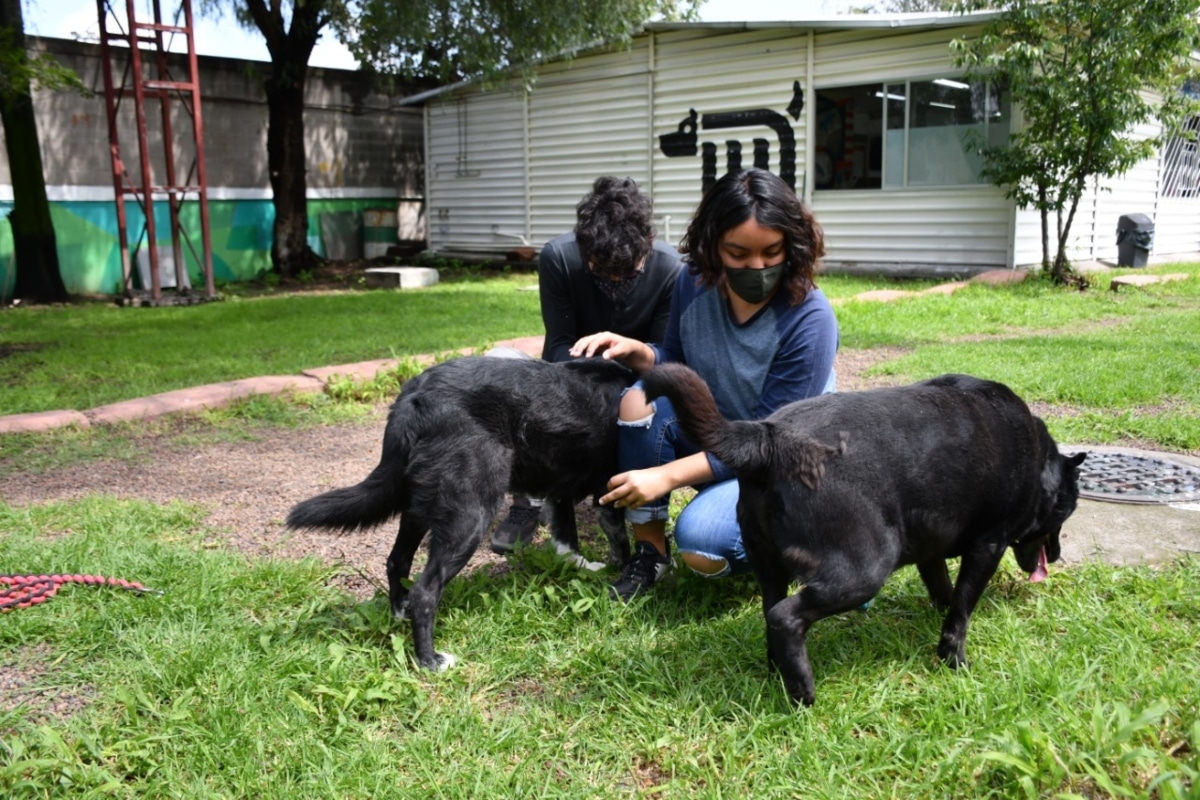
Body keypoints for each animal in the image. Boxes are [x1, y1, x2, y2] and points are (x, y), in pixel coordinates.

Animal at [286, 355, 638, 671]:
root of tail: (414, 397)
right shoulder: (610, 493)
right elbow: (619, 540)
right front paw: (619, 570)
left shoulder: (560, 488)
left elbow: (567, 539)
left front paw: (581, 567)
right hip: (471, 515)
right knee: (425, 591)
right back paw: (430, 661)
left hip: (419, 508)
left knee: (397, 561)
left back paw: (399, 614)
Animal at [648, 362, 1089, 705]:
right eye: (1067, 509)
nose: (1059, 554)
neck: (1036, 457)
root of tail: (770, 439)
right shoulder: (988, 545)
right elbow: (962, 607)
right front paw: (954, 659)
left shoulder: (930, 551)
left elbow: (943, 590)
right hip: (866, 568)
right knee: (784, 617)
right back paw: (804, 693)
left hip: (767, 562)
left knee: (770, 611)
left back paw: (780, 675)